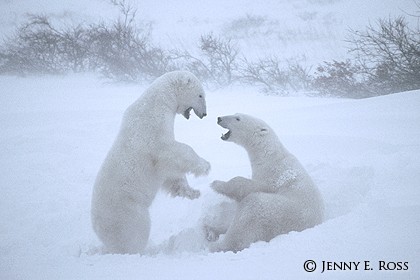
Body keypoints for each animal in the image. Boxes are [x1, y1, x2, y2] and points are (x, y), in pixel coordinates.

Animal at [90, 71, 212, 255]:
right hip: (128, 211)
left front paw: (193, 192)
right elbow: (173, 152)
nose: (204, 114)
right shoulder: (153, 131)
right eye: (200, 95)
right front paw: (205, 166)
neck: (156, 102)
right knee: (137, 232)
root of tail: (97, 226)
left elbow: (170, 174)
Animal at [208, 112, 324, 253]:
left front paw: (216, 184)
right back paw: (211, 229)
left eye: (238, 118)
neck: (269, 155)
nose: (219, 118)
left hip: (277, 213)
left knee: (249, 212)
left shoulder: (270, 176)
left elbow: (246, 186)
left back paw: (215, 243)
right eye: (235, 113)